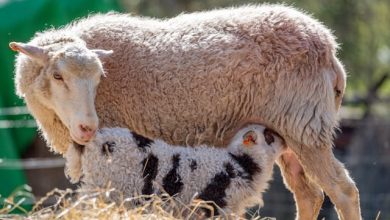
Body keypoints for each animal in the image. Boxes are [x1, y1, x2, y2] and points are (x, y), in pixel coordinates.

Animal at [10, 3, 360, 220]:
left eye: (99, 78)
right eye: (57, 76)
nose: (87, 128)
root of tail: (330, 50)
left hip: (305, 124)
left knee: (342, 190)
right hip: (288, 131)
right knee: (309, 194)